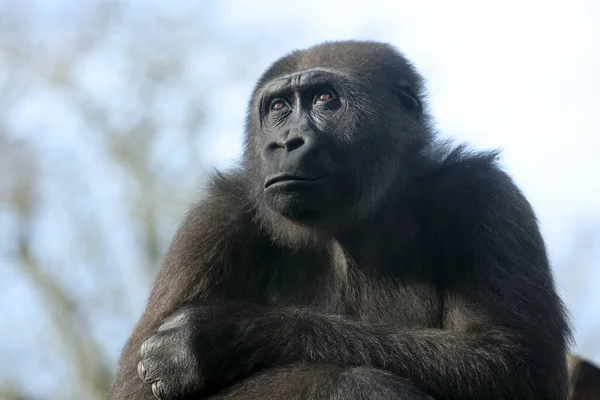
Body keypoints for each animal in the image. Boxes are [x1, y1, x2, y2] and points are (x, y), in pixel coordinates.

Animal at [109, 41, 572, 400]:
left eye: (324, 99)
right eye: (279, 107)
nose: (285, 142)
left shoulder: (484, 195)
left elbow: (512, 360)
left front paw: (223, 335)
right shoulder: (212, 222)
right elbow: (135, 393)